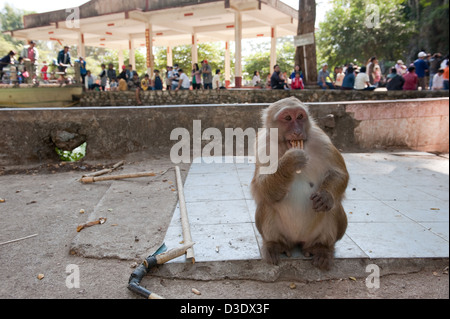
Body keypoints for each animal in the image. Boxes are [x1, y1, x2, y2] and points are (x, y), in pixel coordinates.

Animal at [251, 97, 350, 272]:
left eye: (300, 116)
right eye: (288, 118)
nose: (297, 131)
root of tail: (298, 241)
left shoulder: (320, 138)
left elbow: (339, 173)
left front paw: (325, 196)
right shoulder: (263, 144)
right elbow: (262, 186)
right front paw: (290, 162)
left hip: (312, 237)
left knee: (333, 206)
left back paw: (322, 248)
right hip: (286, 236)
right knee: (267, 202)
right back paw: (275, 245)